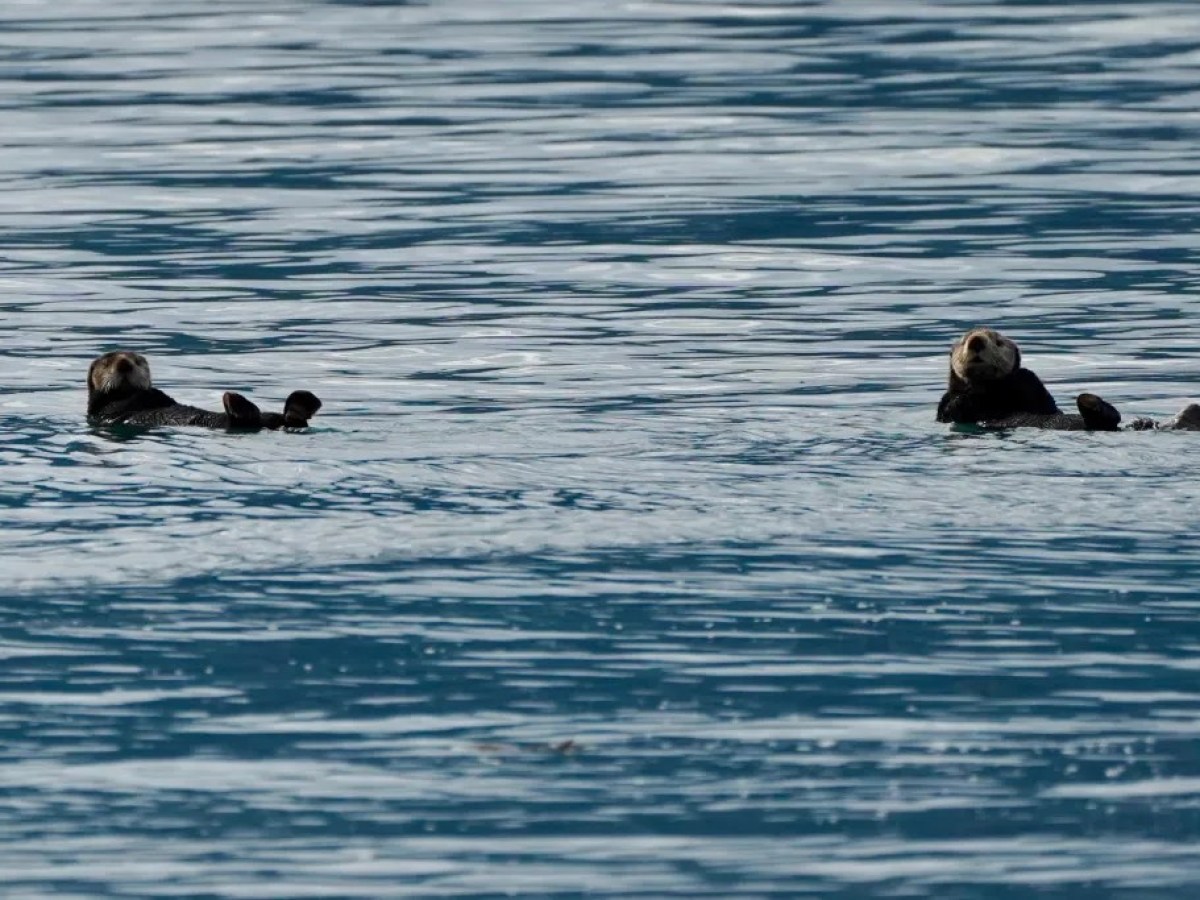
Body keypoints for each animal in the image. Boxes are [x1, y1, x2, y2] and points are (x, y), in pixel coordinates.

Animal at [87, 351, 321, 430]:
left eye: (136, 361)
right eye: (107, 362)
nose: (124, 364)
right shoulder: (105, 410)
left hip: (273, 417)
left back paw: (306, 402)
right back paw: (234, 401)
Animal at [937, 328, 1121, 431]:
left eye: (998, 342)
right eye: (963, 341)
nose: (975, 341)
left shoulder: (1030, 386)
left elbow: (1045, 402)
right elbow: (950, 409)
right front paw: (962, 400)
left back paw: (1089, 400)